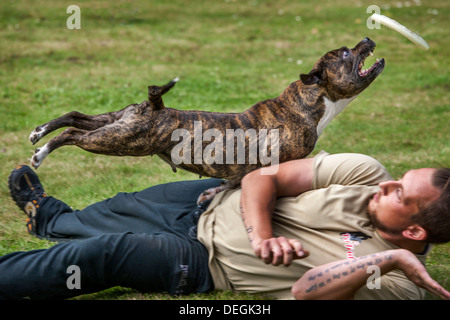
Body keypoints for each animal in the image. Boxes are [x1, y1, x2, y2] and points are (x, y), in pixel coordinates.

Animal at [29, 38, 384, 186]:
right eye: (345, 53)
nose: (368, 37)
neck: (304, 104)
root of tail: (155, 105)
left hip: (117, 124)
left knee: (74, 117)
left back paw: (38, 132)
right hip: (119, 141)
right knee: (73, 133)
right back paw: (40, 154)